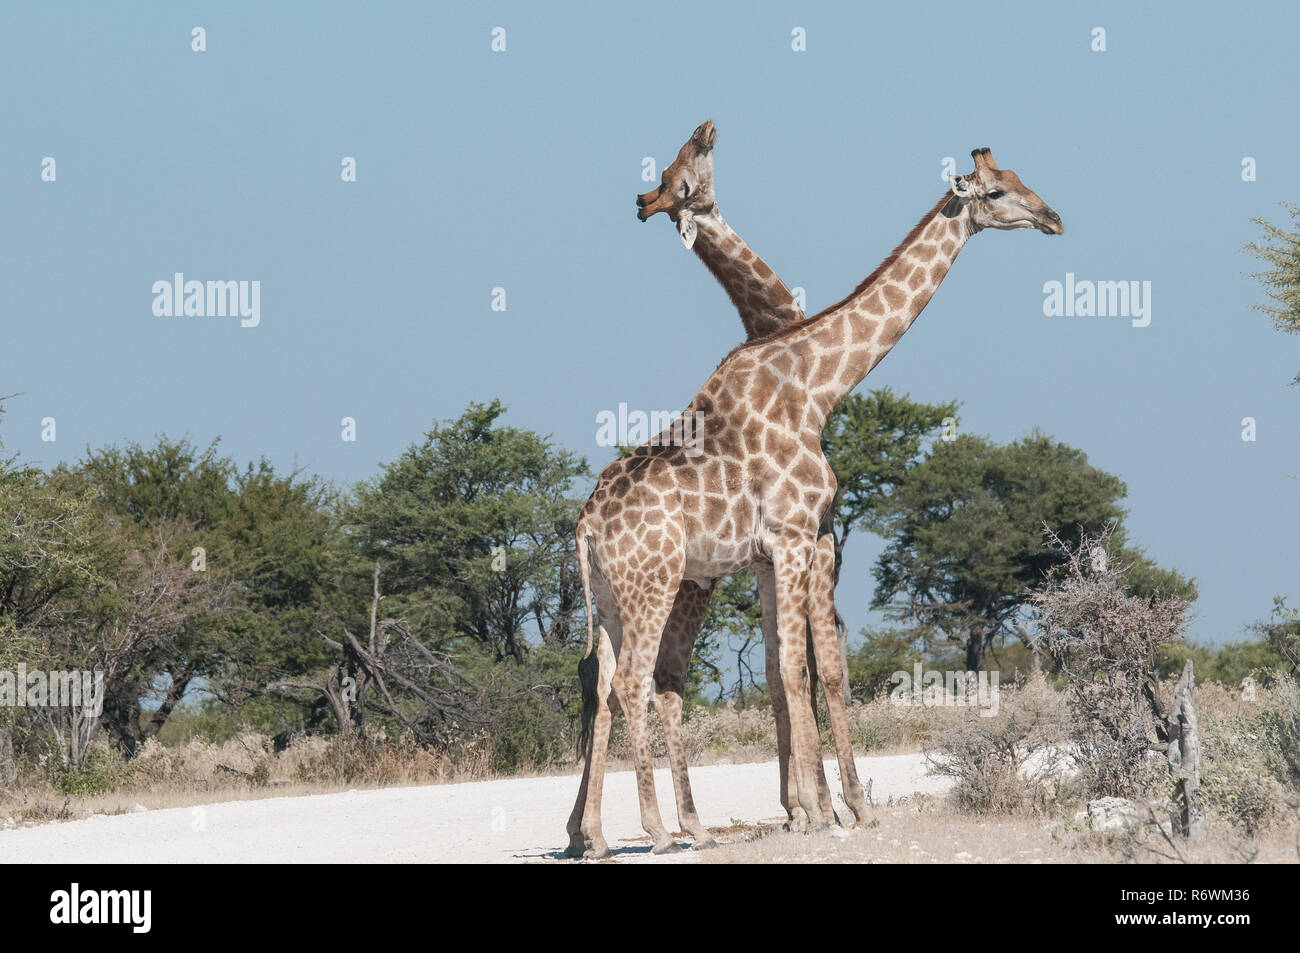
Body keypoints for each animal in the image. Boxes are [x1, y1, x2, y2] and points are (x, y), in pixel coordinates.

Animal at [569, 148, 1062, 858]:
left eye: (1021, 179)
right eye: (996, 193)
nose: (1053, 218)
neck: (819, 386)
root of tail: (584, 523)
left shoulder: (777, 547)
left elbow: (788, 669)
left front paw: (812, 809)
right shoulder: (800, 533)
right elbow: (808, 670)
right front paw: (834, 811)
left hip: (610, 598)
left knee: (604, 681)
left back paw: (597, 836)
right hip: (655, 584)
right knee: (637, 681)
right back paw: (661, 831)